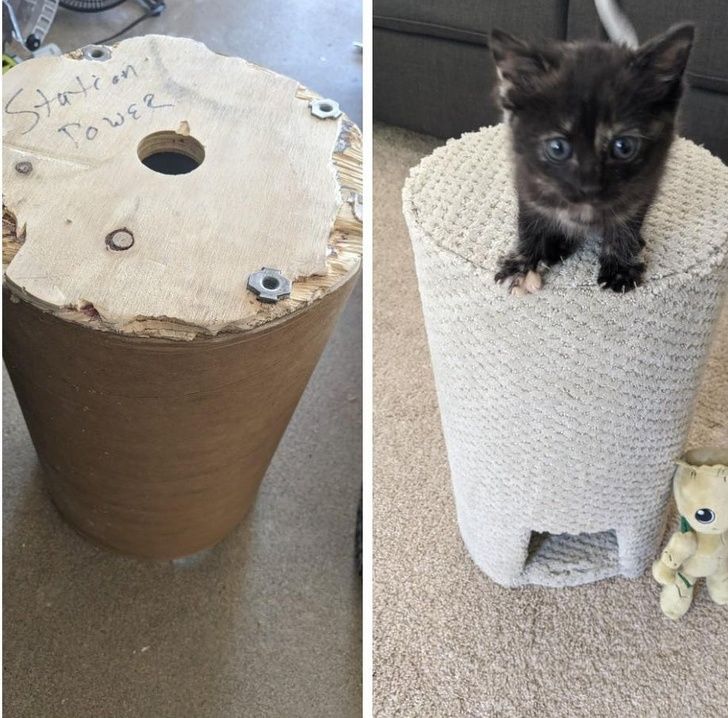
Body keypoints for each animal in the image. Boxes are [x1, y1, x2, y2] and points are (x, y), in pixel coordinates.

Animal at [490, 23, 692, 292]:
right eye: (557, 148)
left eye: (624, 146)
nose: (589, 187)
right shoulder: (527, 179)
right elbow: (529, 222)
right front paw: (522, 263)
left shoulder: (644, 186)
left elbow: (626, 223)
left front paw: (620, 267)